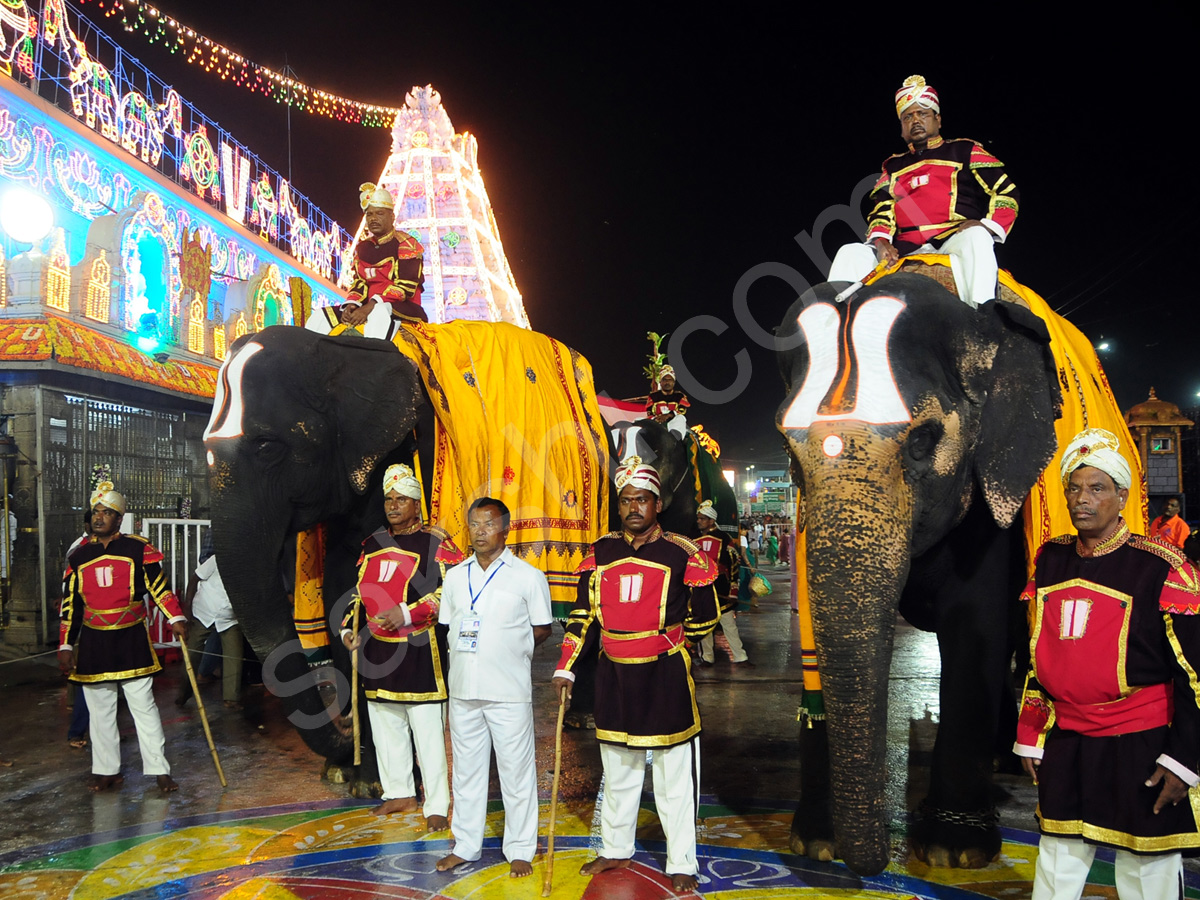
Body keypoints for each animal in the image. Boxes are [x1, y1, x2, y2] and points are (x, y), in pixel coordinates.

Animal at [777, 271, 1060, 878]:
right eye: (789, 449)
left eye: (923, 439)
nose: (876, 863)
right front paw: (815, 844)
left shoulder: (992, 491)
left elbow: (974, 625)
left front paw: (954, 852)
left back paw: (1007, 760)